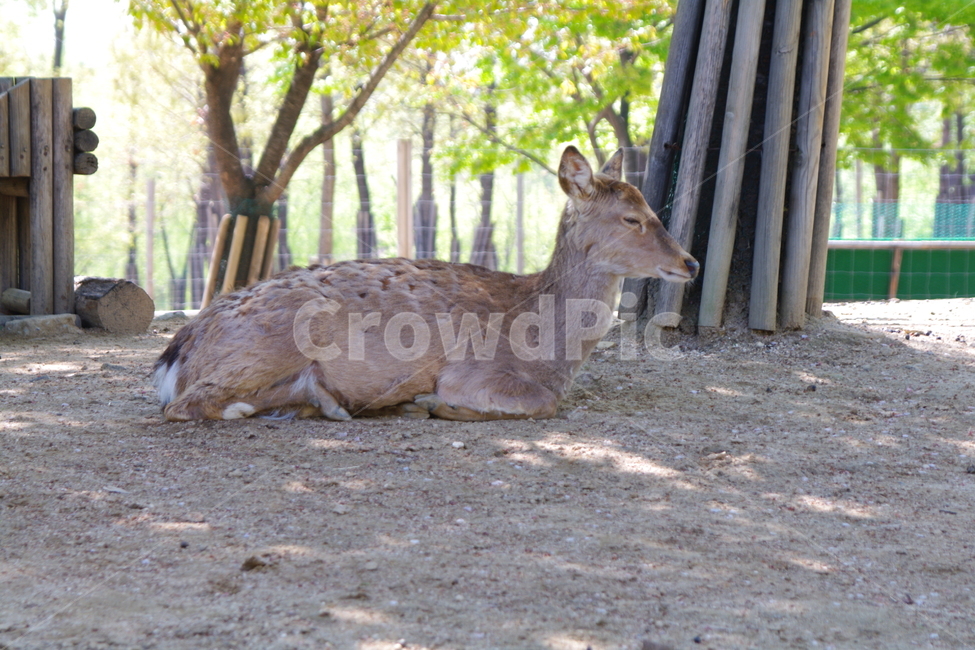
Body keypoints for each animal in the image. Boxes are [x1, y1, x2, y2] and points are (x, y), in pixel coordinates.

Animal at [153, 146, 699, 422]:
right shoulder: (473, 371)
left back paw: (324, 401)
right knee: (186, 406)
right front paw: (433, 403)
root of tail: (181, 345)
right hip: (264, 347)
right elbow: (539, 403)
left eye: (651, 207)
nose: (690, 262)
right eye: (632, 218)